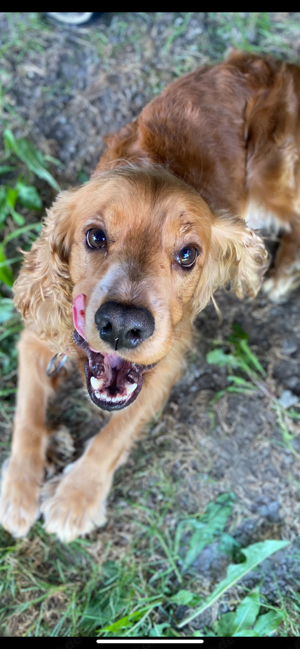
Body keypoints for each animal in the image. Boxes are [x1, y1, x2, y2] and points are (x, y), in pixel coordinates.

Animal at [1, 50, 298, 540]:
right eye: (95, 237)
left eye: (187, 254)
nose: (122, 326)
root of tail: (277, 63)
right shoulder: (40, 335)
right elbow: (27, 412)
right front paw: (19, 490)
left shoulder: (168, 356)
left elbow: (116, 430)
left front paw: (76, 499)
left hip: (270, 177)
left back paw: (284, 269)